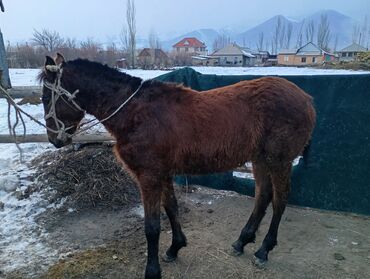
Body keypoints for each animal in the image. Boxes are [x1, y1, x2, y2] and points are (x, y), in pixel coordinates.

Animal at [38, 53, 316, 278]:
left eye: (46, 97)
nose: (54, 139)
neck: (135, 113)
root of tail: (306, 99)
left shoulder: (148, 176)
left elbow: (152, 226)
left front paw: (152, 270)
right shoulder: (163, 174)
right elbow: (171, 208)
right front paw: (175, 247)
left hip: (279, 161)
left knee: (280, 200)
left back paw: (264, 250)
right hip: (260, 159)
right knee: (263, 196)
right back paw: (242, 241)